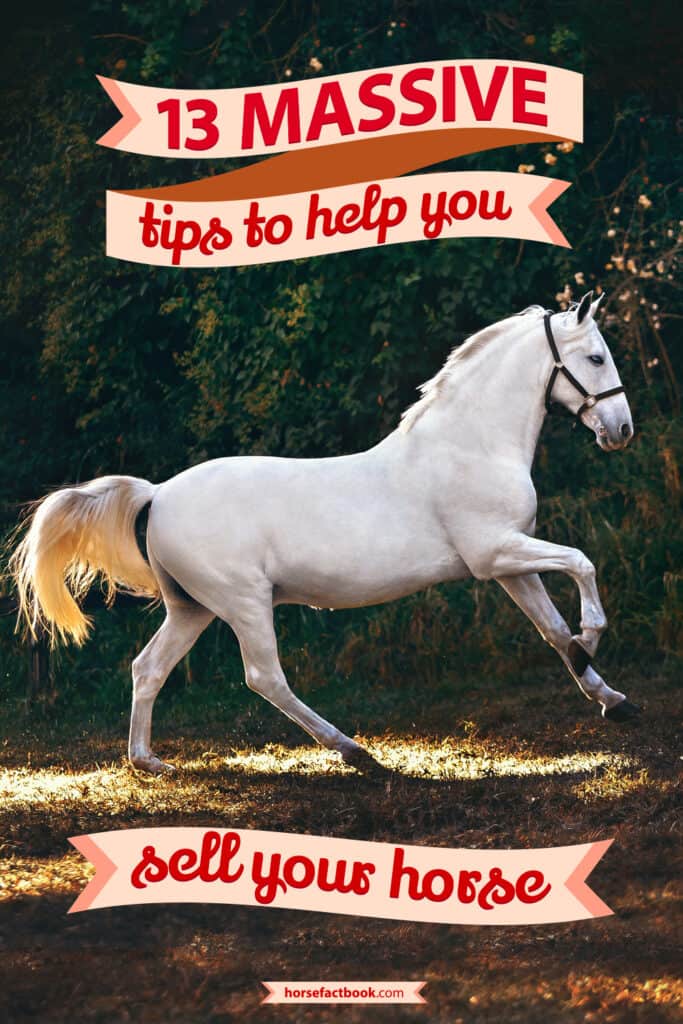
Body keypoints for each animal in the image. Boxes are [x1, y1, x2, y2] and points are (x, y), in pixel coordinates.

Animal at [9, 291, 641, 774]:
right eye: (595, 357)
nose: (622, 431)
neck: (471, 445)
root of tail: (158, 494)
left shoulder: (510, 565)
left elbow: (553, 631)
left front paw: (611, 698)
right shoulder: (496, 554)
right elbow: (582, 564)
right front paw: (593, 637)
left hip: (192, 607)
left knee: (148, 668)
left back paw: (148, 762)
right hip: (243, 602)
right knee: (265, 677)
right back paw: (355, 752)